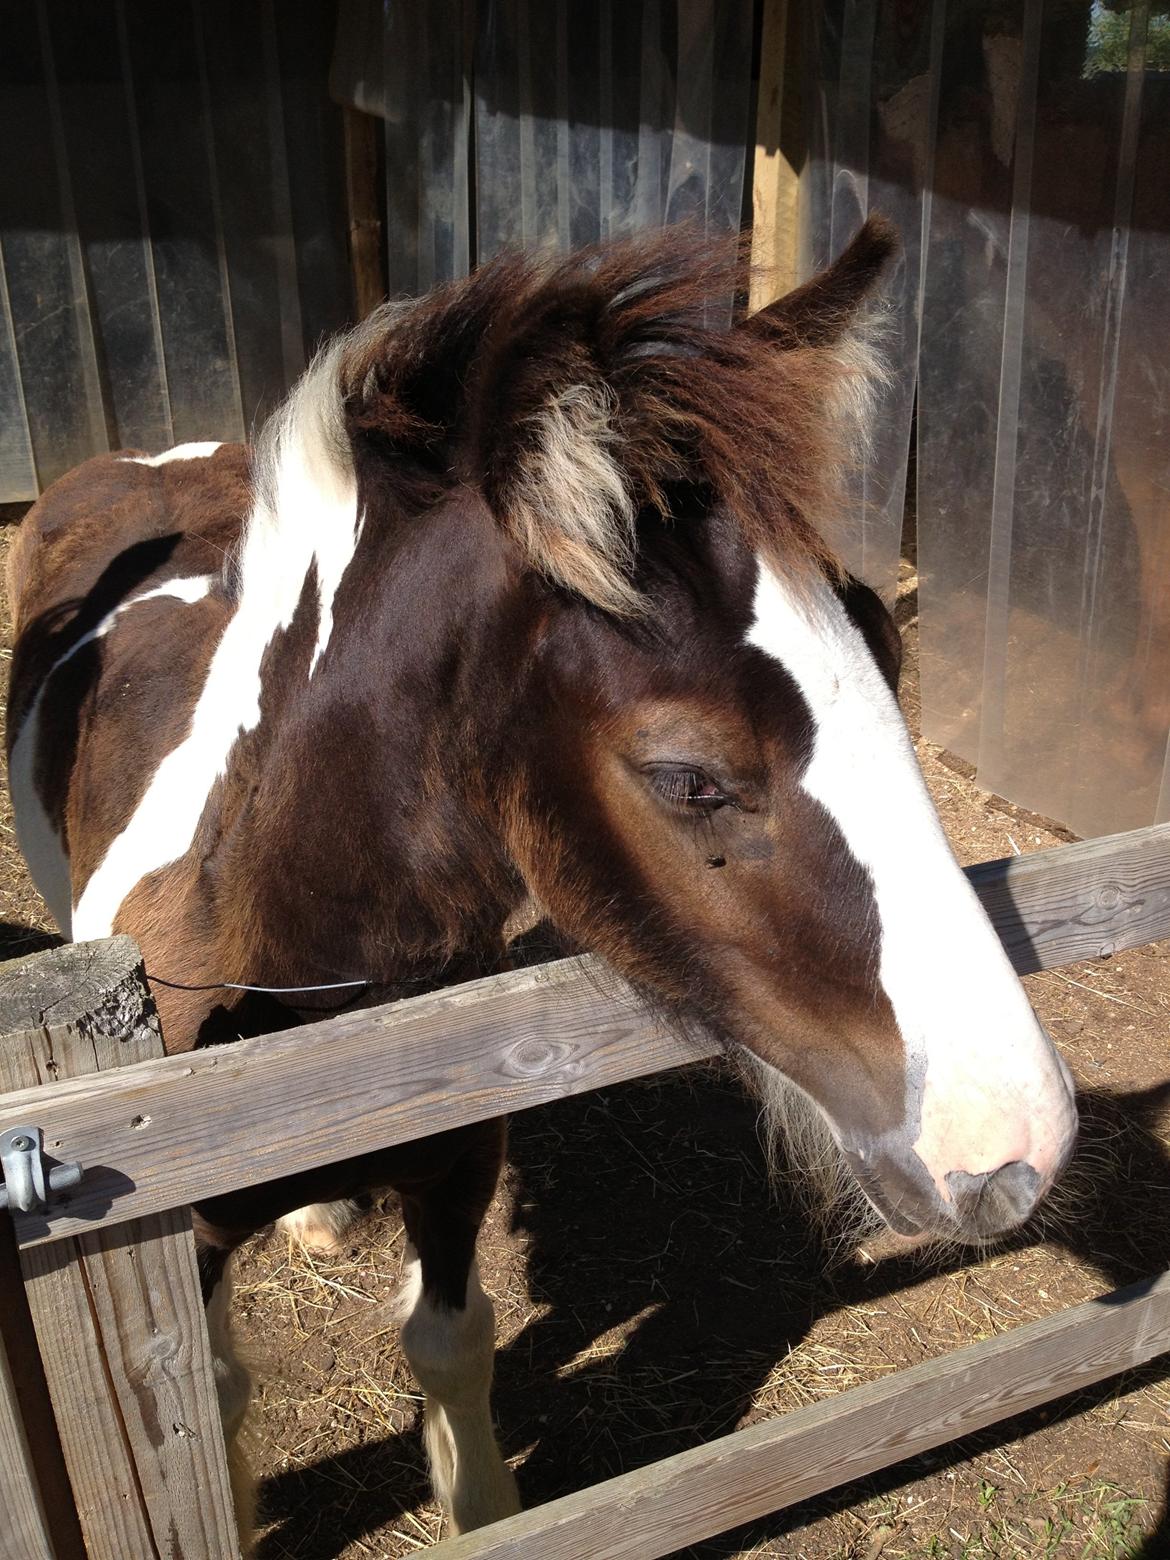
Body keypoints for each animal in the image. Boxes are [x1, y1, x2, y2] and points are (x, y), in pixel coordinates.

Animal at [4, 213, 1079, 1541]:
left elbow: (451, 1343)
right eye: (688, 777)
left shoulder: (459, 1162)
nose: (1017, 1144)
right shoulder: (169, 1234)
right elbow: (212, 1397)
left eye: (887, 649)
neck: (301, 1025)